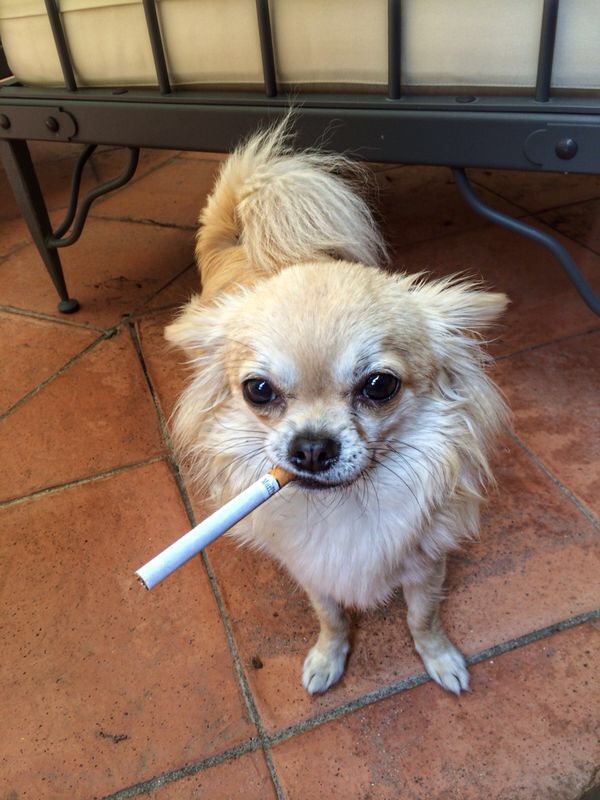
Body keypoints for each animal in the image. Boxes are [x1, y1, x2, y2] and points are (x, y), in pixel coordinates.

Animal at [166, 117, 508, 692]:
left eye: (379, 385)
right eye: (259, 390)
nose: (310, 448)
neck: (348, 506)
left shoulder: (427, 563)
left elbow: (423, 617)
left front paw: (439, 658)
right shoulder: (312, 571)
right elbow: (330, 617)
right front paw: (329, 658)